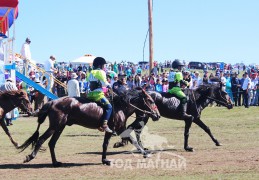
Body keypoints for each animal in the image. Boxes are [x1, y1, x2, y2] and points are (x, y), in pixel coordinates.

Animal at [17, 88, 160, 167]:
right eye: (151, 101)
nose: (157, 115)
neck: (120, 107)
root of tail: (52, 101)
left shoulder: (116, 130)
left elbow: (108, 144)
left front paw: (105, 160)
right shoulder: (116, 130)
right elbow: (132, 141)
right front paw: (145, 153)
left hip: (60, 127)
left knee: (51, 143)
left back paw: (56, 162)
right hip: (55, 126)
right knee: (41, 139)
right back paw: (30, 157)